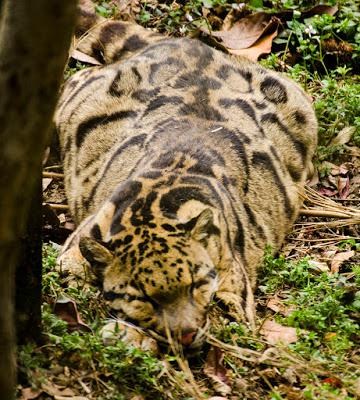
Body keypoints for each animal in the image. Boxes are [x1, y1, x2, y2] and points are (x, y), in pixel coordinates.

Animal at [54, 0, 316, 350]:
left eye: (197, 283)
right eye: (144, 297)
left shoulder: (234, 296)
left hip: (299, 102)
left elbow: (223, 320)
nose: (187, 333)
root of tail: (186, 44)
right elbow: (73, 278)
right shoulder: (73, 252)